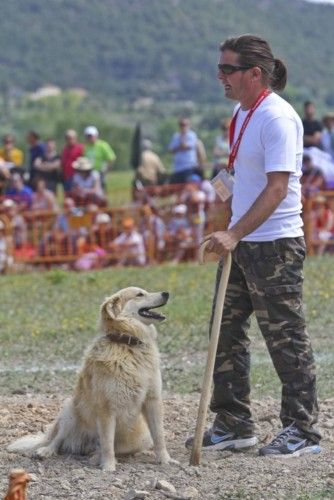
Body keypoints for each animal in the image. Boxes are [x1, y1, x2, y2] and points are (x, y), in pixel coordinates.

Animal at [7, 288, 175, 470]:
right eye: (139, 294)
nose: (166, 293)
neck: (127, 344)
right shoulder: (106, 408)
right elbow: (107, 443)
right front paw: (108, 467)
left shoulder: (153, 401)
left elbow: (159, 436)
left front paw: (165, 459)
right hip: (70, 412)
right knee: (59, 439)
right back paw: (47, 451)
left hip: (140, 438)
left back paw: (95, 456)